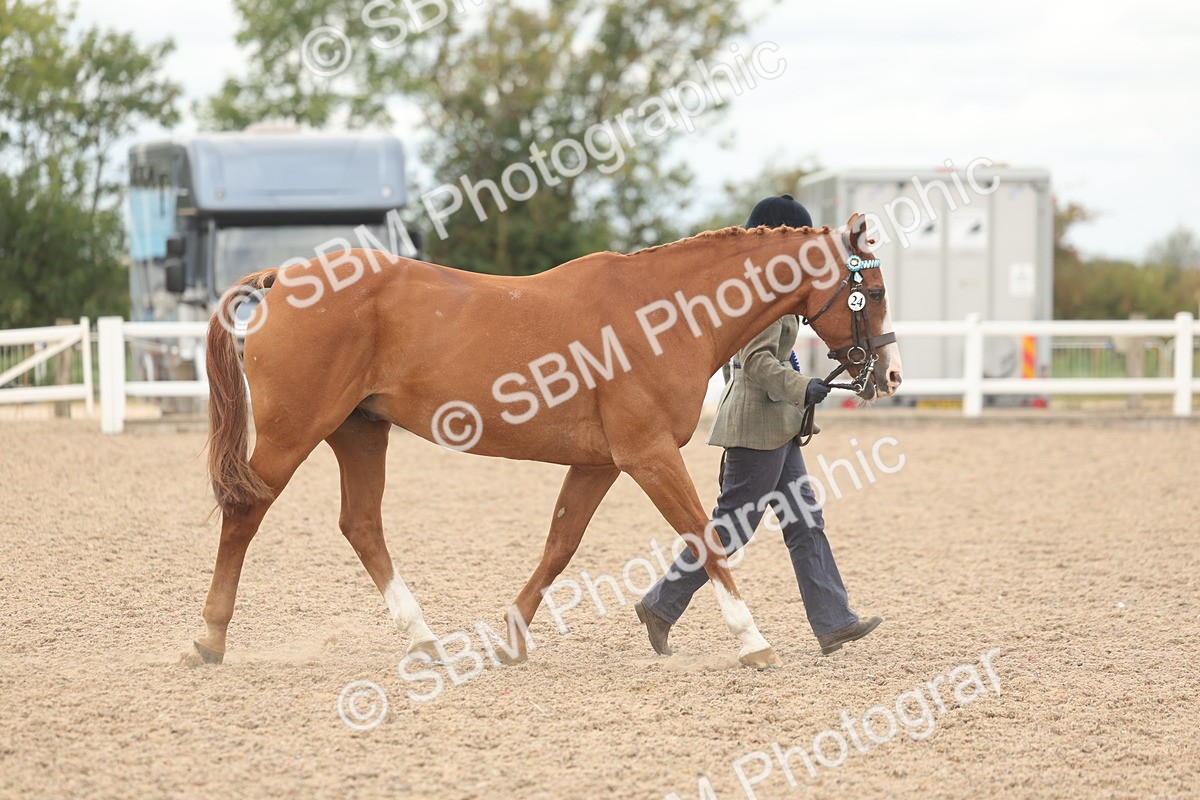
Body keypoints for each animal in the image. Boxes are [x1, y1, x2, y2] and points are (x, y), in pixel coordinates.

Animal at [193, 213, 902, 670]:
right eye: (874, 290)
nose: (888, 376)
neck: (664, 312)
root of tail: (285, 280)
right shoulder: (649, 456)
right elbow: (706, 537)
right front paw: (752, 642)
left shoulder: (601, 464)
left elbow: (561, 544)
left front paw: (511, 641)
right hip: (292, 432)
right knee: (246, 512)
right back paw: (208, 640)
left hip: (359, 432)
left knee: (361, 524)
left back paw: (424, 640)